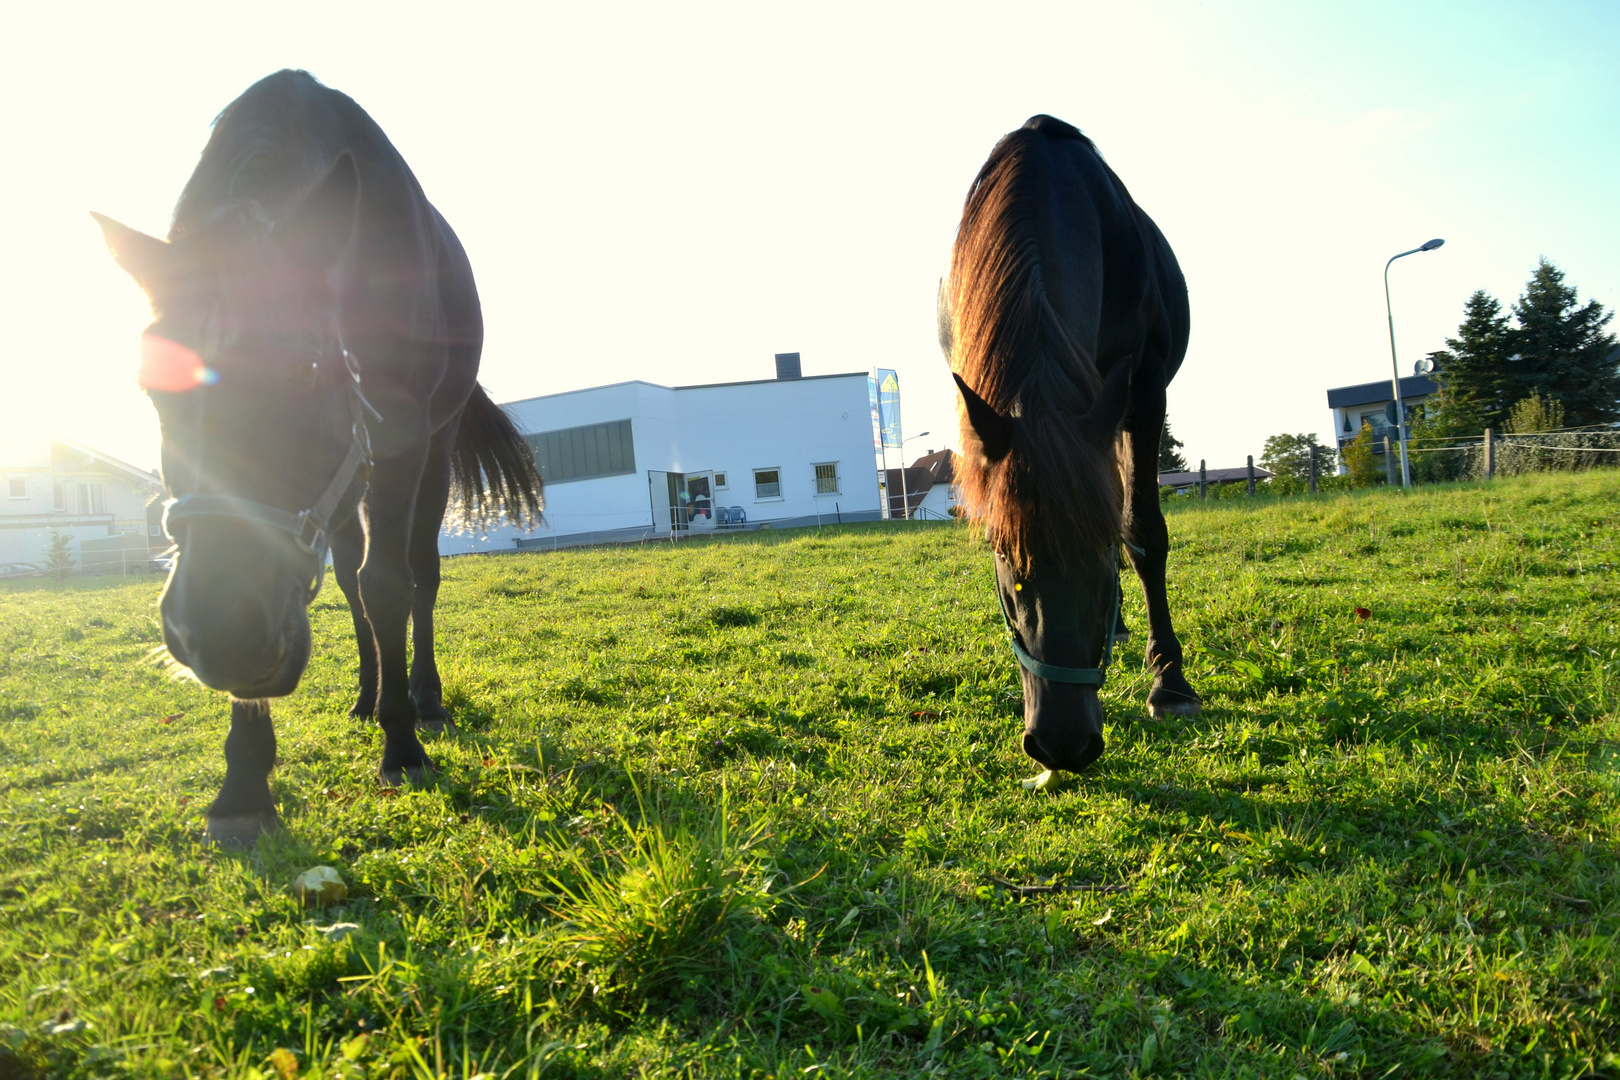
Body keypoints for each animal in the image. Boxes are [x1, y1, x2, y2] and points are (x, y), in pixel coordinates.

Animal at [96, 71, 544, 841]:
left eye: (306, 367)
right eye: (151, 385)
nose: (220, 632)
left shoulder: (399, 435)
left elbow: (391, 583)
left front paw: (404, 745)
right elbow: (345, 591)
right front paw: (243, 784)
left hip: (430, 449)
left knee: (417, 577)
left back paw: (421, 700)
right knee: (351, 583)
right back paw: (367, 695)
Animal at [939, 114, 1205, 773]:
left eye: (1099, 558)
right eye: (1006, 561)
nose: (1062, 743)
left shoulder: (1143, 389)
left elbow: (1143, 531)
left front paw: (1170, 684)